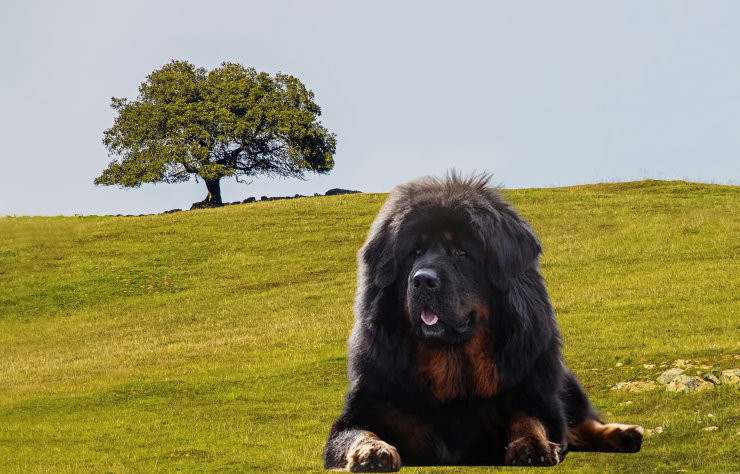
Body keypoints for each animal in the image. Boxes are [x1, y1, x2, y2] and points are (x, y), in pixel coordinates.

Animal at [324, 174, 640, 470]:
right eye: (415, 252)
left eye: (461, 252)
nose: (423, 280)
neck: (453, 369)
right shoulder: (364, 409)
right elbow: (358, 433)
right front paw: (371, 451)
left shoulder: (537, 396)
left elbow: (530, 418)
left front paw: (532, 444)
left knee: (580, 422)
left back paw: (627, 433)